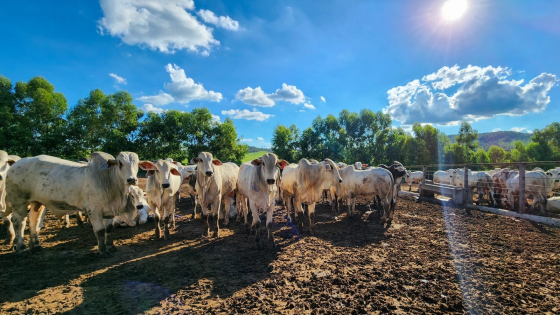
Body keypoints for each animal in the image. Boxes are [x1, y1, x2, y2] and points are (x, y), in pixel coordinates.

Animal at [5, 152, 141, 254]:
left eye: (137, 164)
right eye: (120, 163)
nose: (132, 179)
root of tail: (15, 165)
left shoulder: (110, 210)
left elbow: (108, 229)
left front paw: (111, 247)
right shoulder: (94, 210)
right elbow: (100, 231)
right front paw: (102, 250)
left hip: (37, 203)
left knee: (34, 221)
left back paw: (37, 246)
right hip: (19, 202)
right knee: (18, 222)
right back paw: (21, 247)